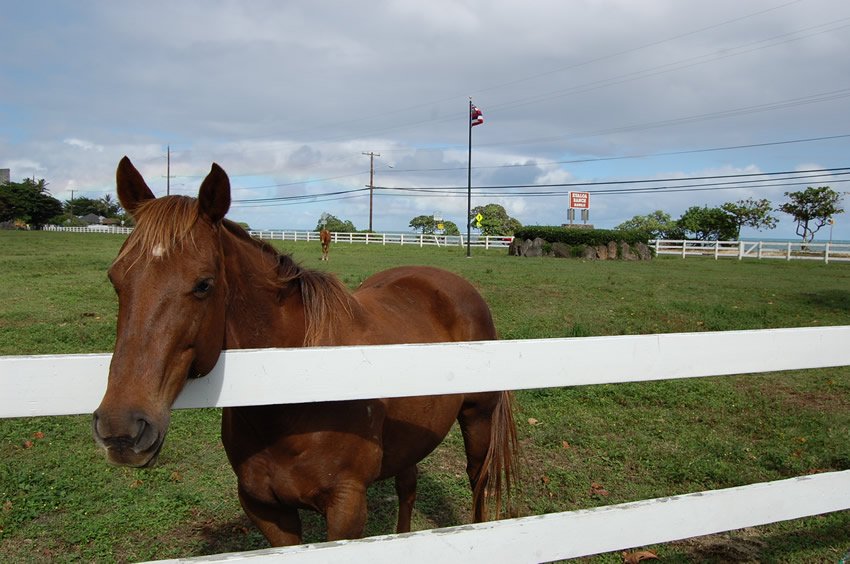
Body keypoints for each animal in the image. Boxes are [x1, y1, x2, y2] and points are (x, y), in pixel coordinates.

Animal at [93, 158, 516, 548]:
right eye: (115, 279)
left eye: (204, 284)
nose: (121, 429)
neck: (297, 393)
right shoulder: (266, 509)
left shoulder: (346, 509)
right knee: (408, 487)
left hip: (478, 419)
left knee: (478, 482)